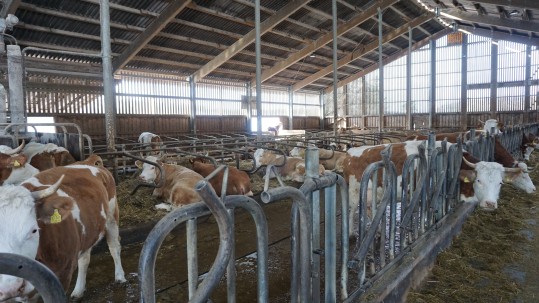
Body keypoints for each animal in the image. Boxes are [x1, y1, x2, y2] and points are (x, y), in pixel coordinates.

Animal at [0, 162, 126, 302]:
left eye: (34, 230)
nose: (11, 288)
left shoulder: (63, 273)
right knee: (84, 259)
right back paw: (78, 291)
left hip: (112, 215)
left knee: (114, 247)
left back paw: (120, 277)